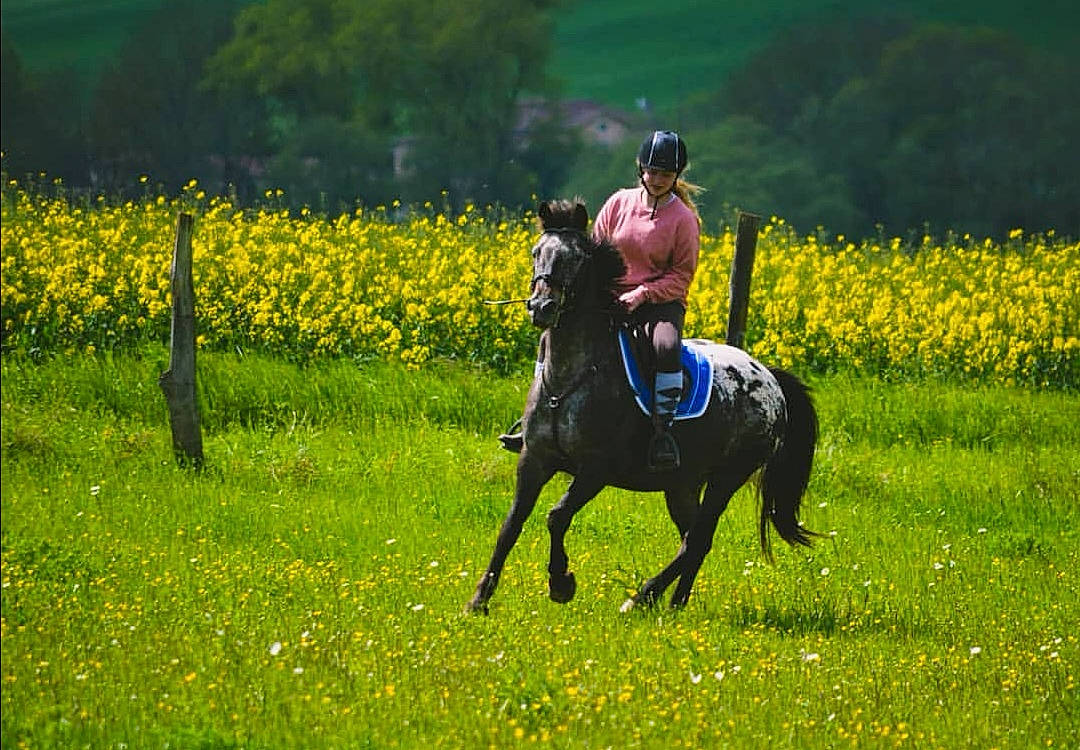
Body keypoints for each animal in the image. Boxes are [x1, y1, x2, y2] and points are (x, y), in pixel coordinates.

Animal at [467, 200, 819, 613]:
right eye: (536, 252)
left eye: (577, 258)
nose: (542, 307)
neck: (570, 378)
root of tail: (770, 378)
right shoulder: (535, 459)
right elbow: (511, 524)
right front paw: (478, 600)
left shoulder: (594, 470)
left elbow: (556, 517)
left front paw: (561, 583)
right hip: (682, 483)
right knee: (694, 539)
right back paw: (671, 603)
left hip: (727, 476)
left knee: (699, 537)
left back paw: (642, 598)